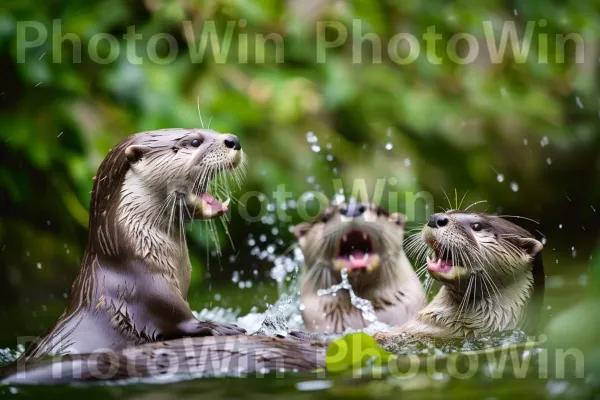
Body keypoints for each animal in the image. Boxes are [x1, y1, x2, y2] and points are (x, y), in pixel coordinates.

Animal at [19, 128, 247, 360]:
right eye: (194, 141)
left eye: (213, 132)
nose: (233, 140)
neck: (133, 261)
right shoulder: (148, 289)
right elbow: (180, 319)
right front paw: (218, 326)